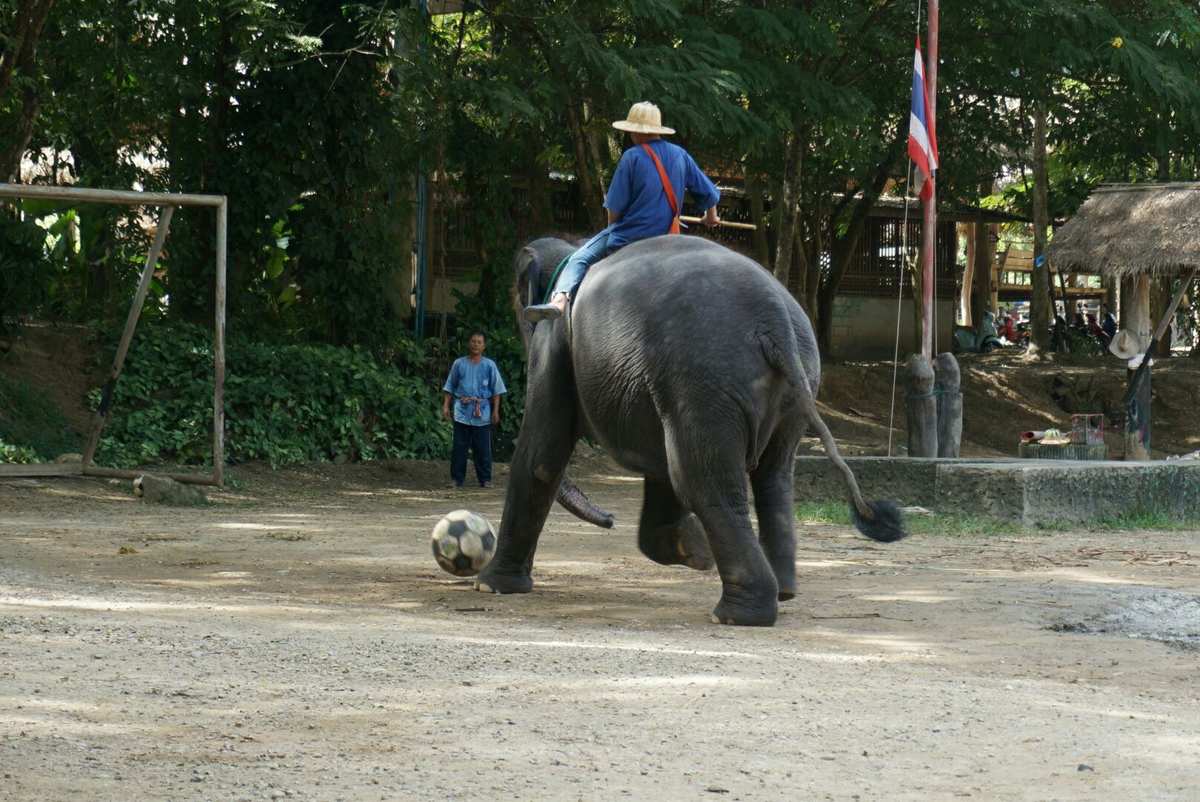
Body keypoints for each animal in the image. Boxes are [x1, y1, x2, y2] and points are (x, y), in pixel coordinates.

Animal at [472, 232, 902, 624]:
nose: (609, 519)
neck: (571, 246)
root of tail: (776, 323)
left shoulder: (556, 338)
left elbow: (542, 455)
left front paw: (490, 586)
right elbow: (657, 466)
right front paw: (692, 551)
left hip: (704, 382)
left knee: (701, 479)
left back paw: (737, 613)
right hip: (785, 389)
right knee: (773, 478)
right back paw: (782, 590)